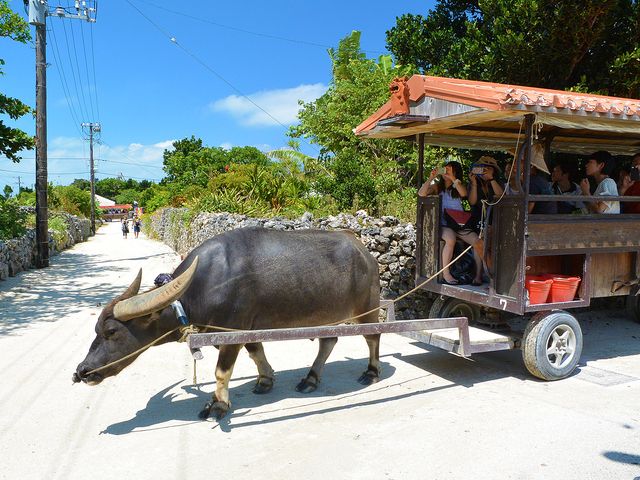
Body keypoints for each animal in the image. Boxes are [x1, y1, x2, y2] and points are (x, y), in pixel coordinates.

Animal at [74, 227, 380, 418]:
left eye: (111, 331)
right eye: (96, 330)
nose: (82, 371)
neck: (203, 286)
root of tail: (364, 251)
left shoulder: (231, 334)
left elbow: (222, 371)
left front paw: (218, 405)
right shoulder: (244, 329)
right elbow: (256, 351)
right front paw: (265, 380)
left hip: (368, 308)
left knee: (372, 337)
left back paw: (371, 372)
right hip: (329, 315)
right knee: (328, 341)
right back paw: (310, 379)